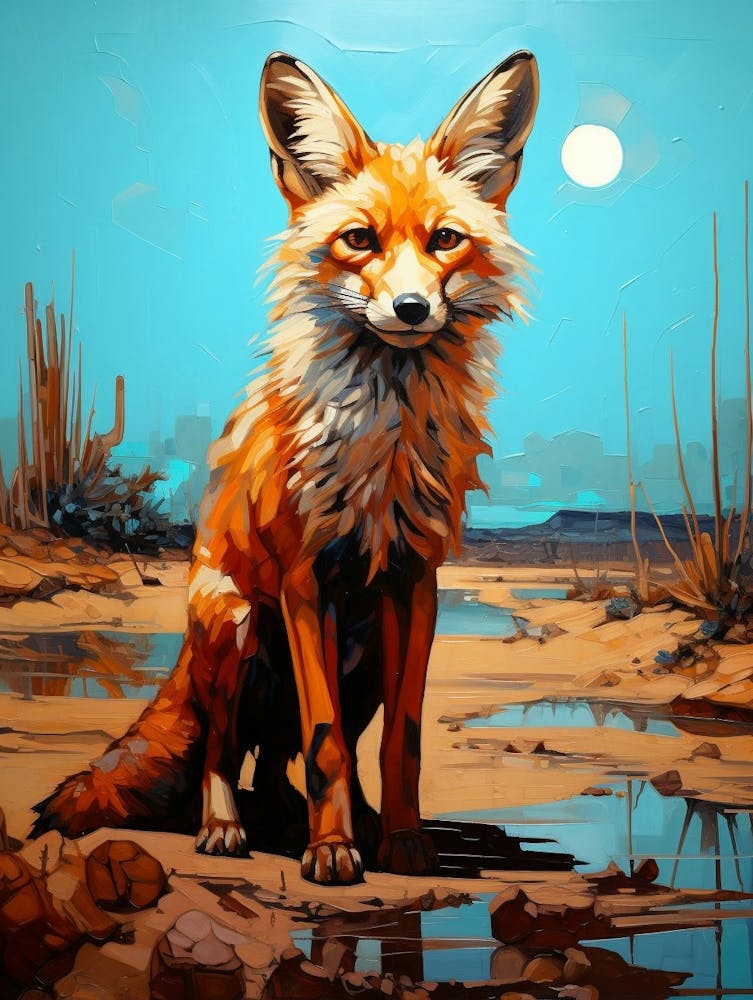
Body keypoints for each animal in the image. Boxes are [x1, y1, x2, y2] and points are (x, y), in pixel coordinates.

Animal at [32, 50, 539, 885]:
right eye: (359, 238)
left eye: (444, 240)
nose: (409, 309)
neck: (381, 444)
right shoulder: (307, 580)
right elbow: (323, 736)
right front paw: (330, 851)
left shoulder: (415, 582)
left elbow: (398, 740)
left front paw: (399, 841)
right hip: (237, 630)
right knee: (225, 748)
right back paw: (228, 828)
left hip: (362, 652)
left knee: (281, 761)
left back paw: (342, 823)